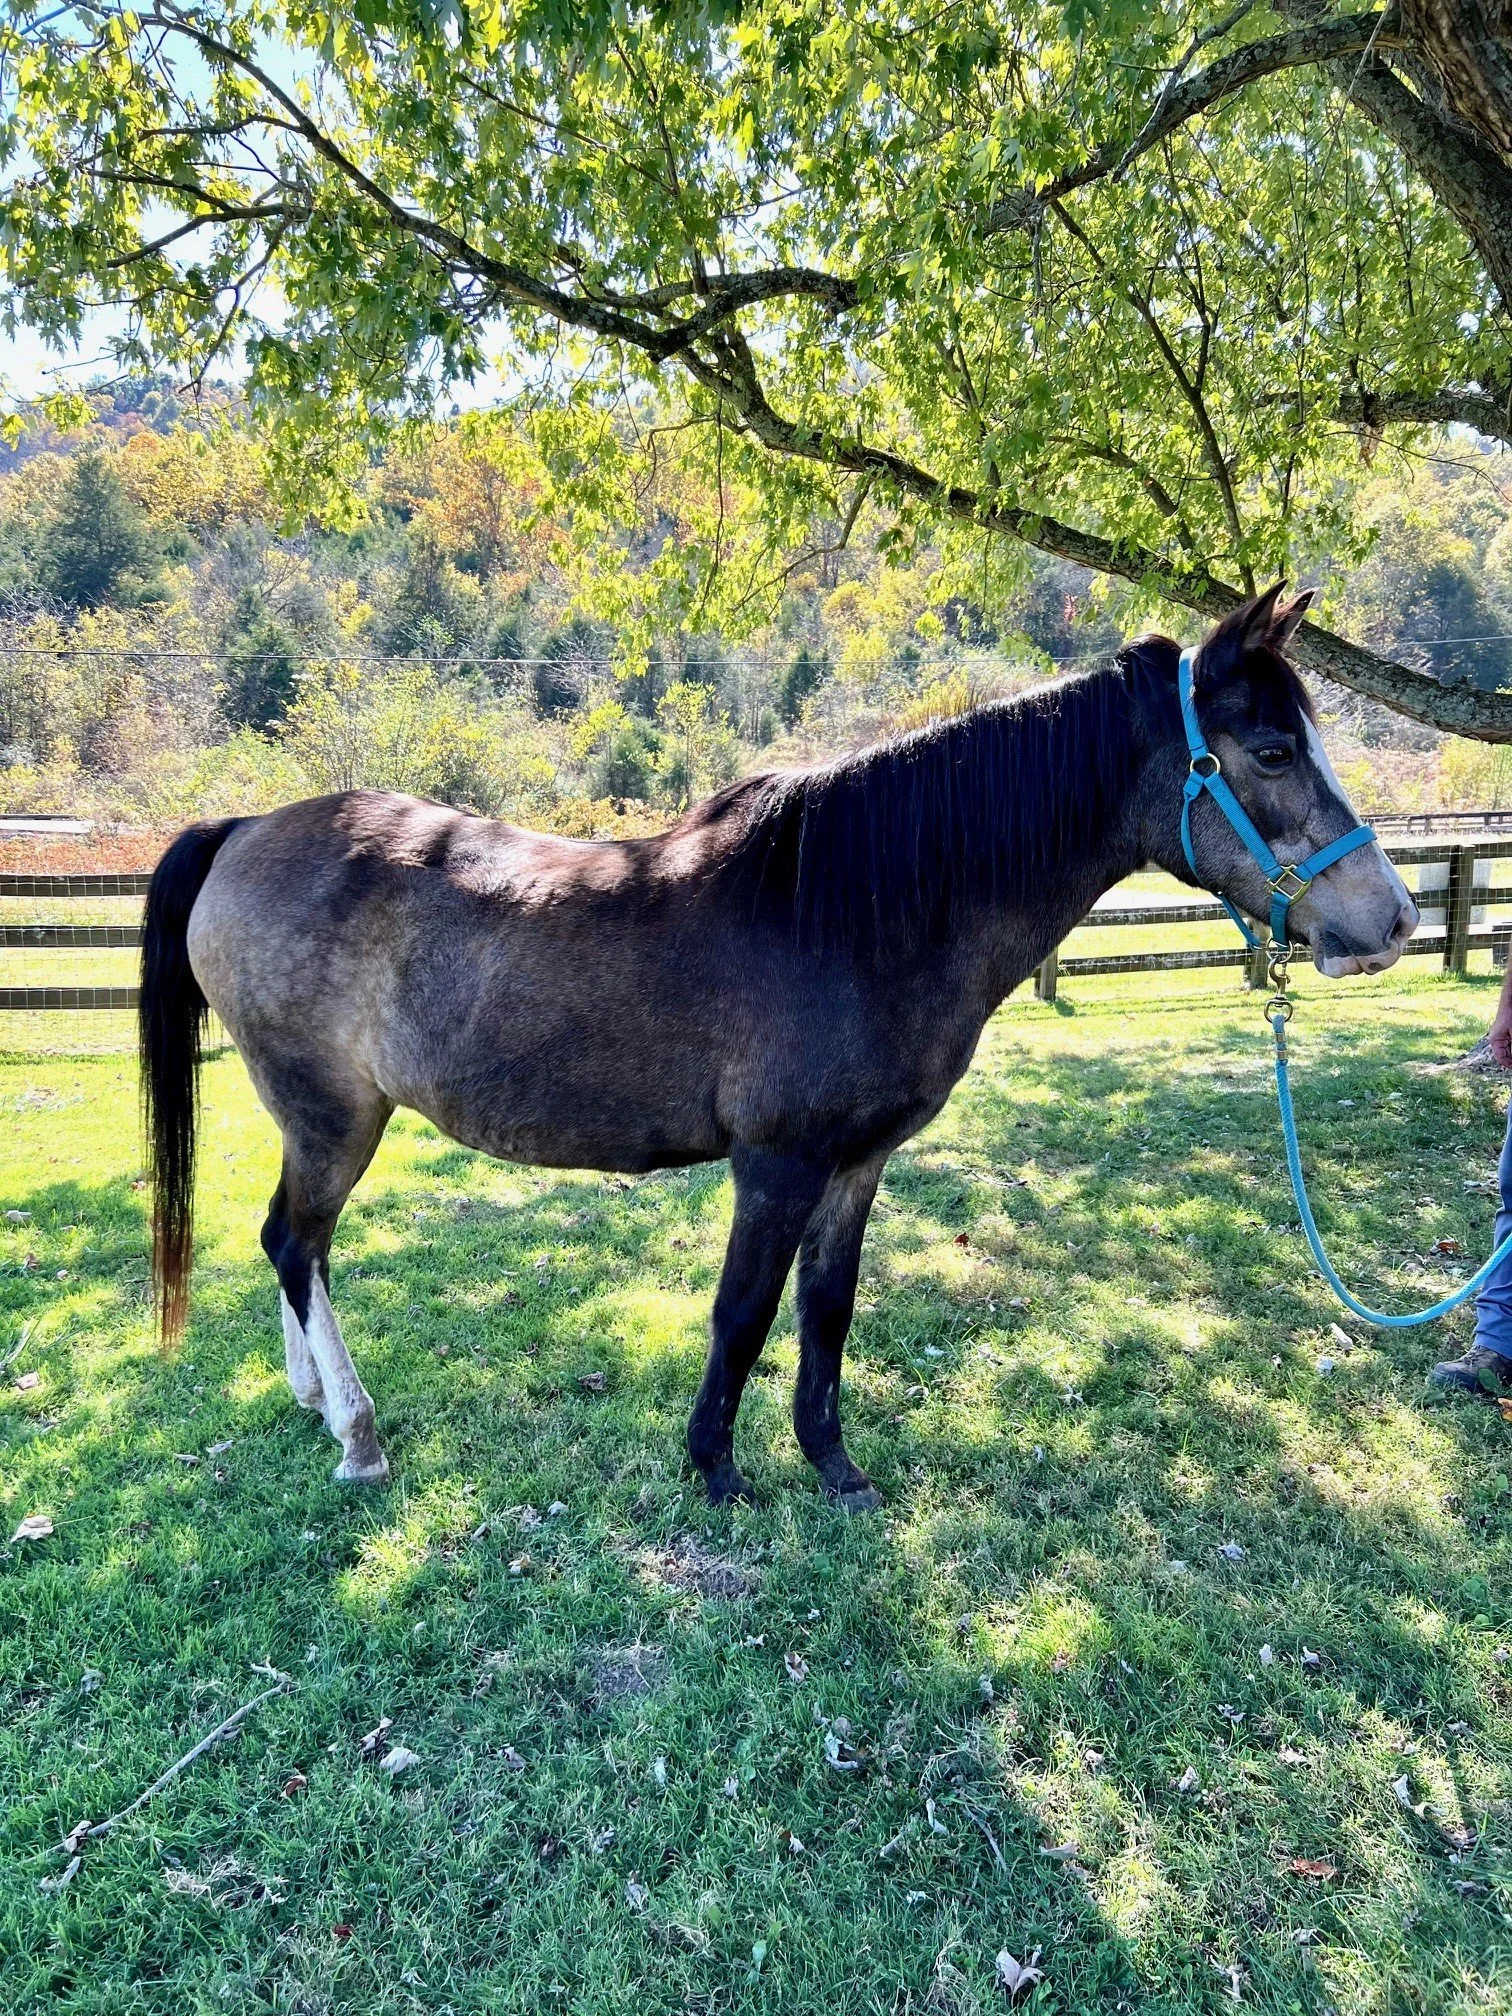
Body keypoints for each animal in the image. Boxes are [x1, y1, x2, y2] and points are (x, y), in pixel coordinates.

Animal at [139, 584, 1417, 1505]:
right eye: (1268, 753)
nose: (1395, 919)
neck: (851, 910)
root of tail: (245, 828)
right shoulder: (777, 1164)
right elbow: (742, 1312)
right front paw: (715, 1470)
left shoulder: (856, 1165)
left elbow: (825, 1312)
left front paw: (833, 1468)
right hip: (332, 1120)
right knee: (296, 1243)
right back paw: (357, 1435)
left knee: (291, 1248)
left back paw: (317, 1403)